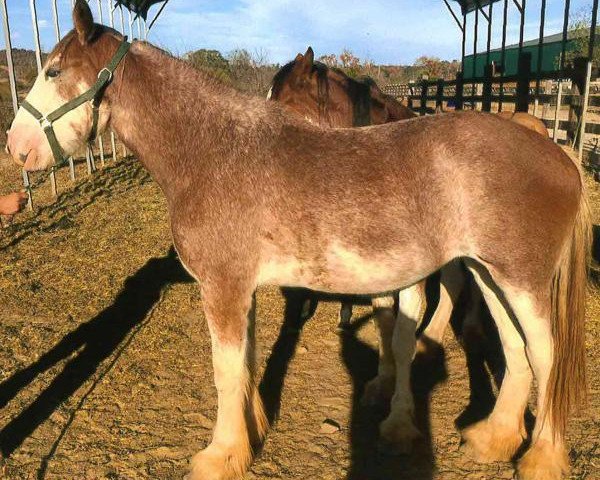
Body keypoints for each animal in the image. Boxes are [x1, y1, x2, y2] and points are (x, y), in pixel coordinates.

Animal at [7, 1, 592, 478]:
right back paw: (494, 439)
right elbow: (244, 363)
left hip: (522, 281)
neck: (213, 152)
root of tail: (557, 154)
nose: (16, 147)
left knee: (546, 354)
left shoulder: (222, 288)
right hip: (491, 274)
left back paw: (542, 459)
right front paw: (250, 435)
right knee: (515, 347)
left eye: (53, 71)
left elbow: (225, 371)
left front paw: (220, 456)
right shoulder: (240, 289)